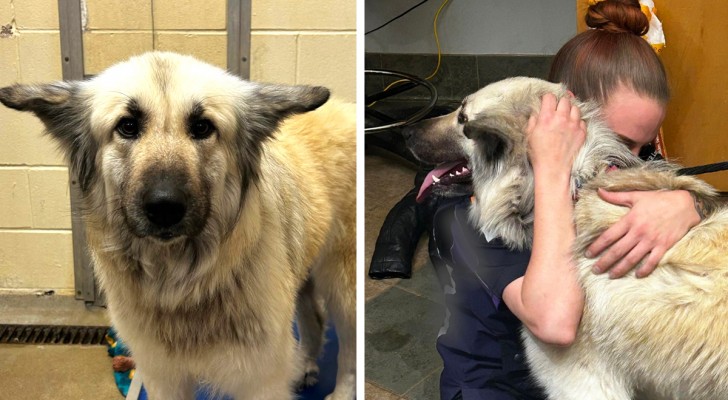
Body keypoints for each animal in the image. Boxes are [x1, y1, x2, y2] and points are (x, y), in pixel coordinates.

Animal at [0, 53, 356, 400]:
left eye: (201, 127)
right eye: (127, 126)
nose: (164, 207)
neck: (181, 282)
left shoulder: (259, 380)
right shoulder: (164, 376)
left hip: (342, 288)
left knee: (349, 350)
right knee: (314, 319)